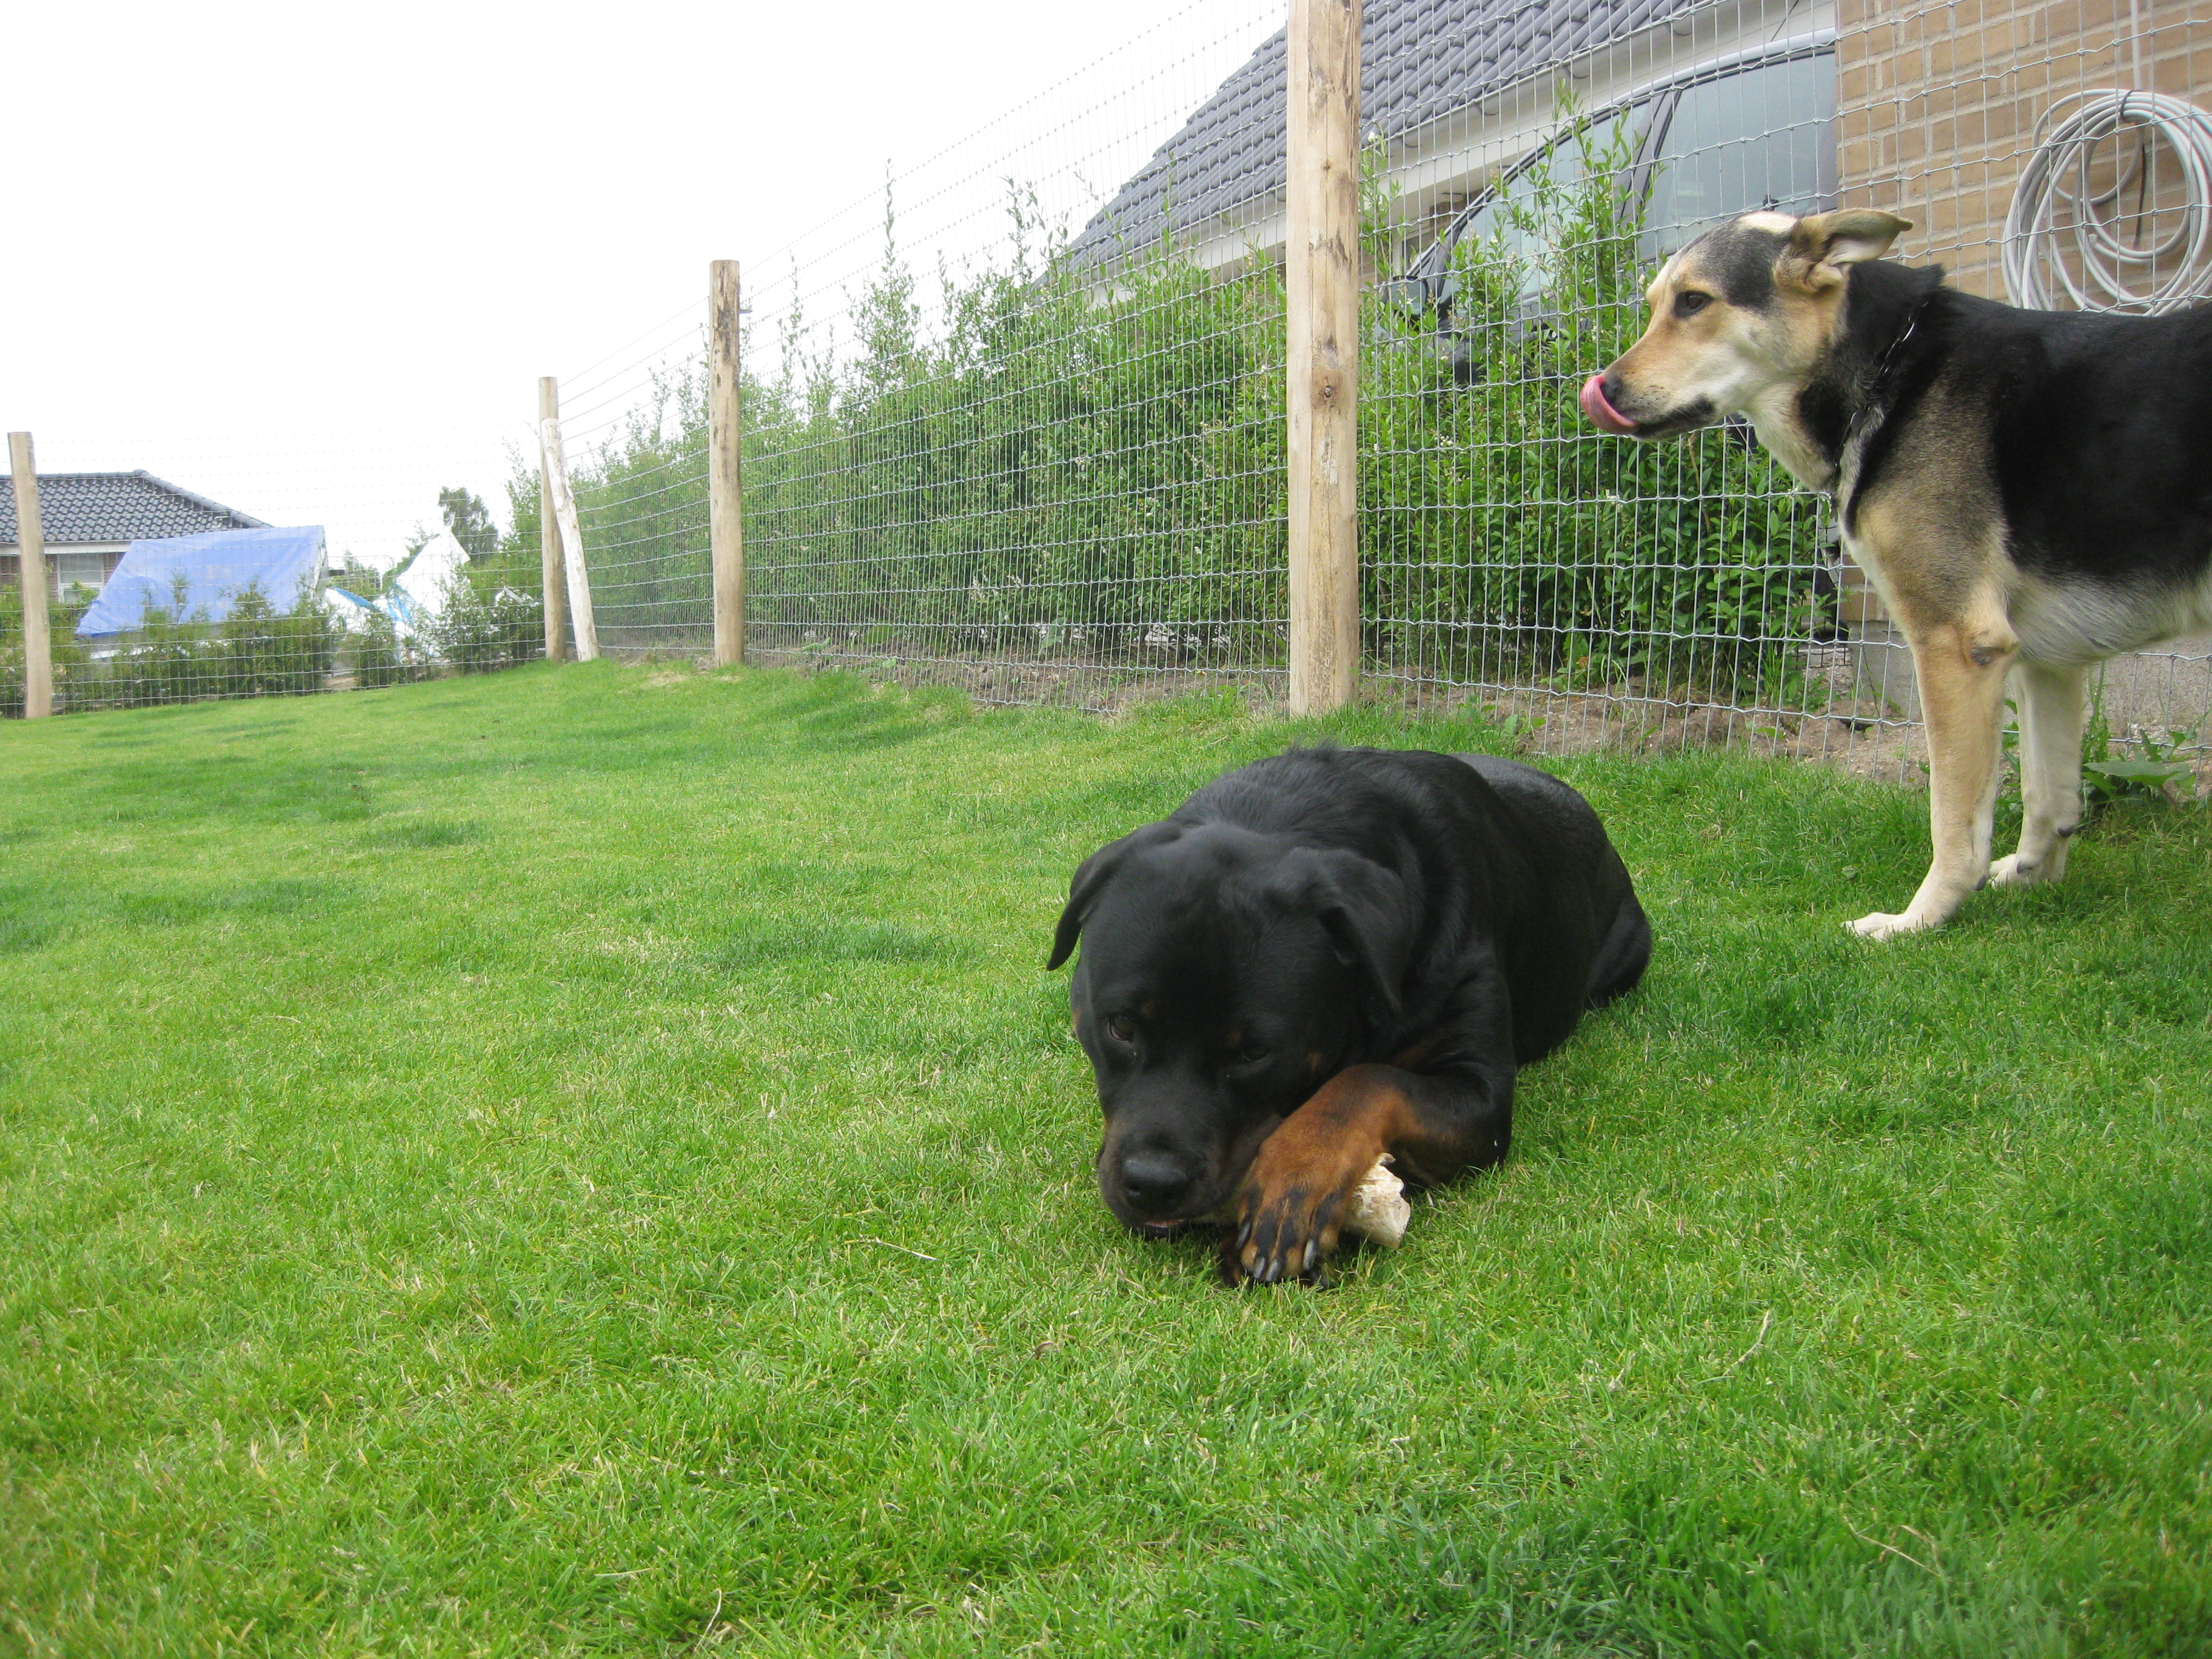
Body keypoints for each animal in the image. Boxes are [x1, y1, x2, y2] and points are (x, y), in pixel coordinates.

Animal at [1044, 748, 1654, 1292]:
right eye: (1121, 1026)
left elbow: (1370, 1080)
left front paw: (1295, 1181)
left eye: (1254, 1052)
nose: (1153, 1182)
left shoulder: (1480, 1094)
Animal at [1583, 207, 2203, 937]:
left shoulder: (1955, 645)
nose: (1602, 391)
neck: (1887, 371)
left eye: (1694, 302)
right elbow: (2050, 799)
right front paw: (2029, 880)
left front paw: (1921, 918)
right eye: (1656, 305)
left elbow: (1955, 816)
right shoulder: (2045, 662)